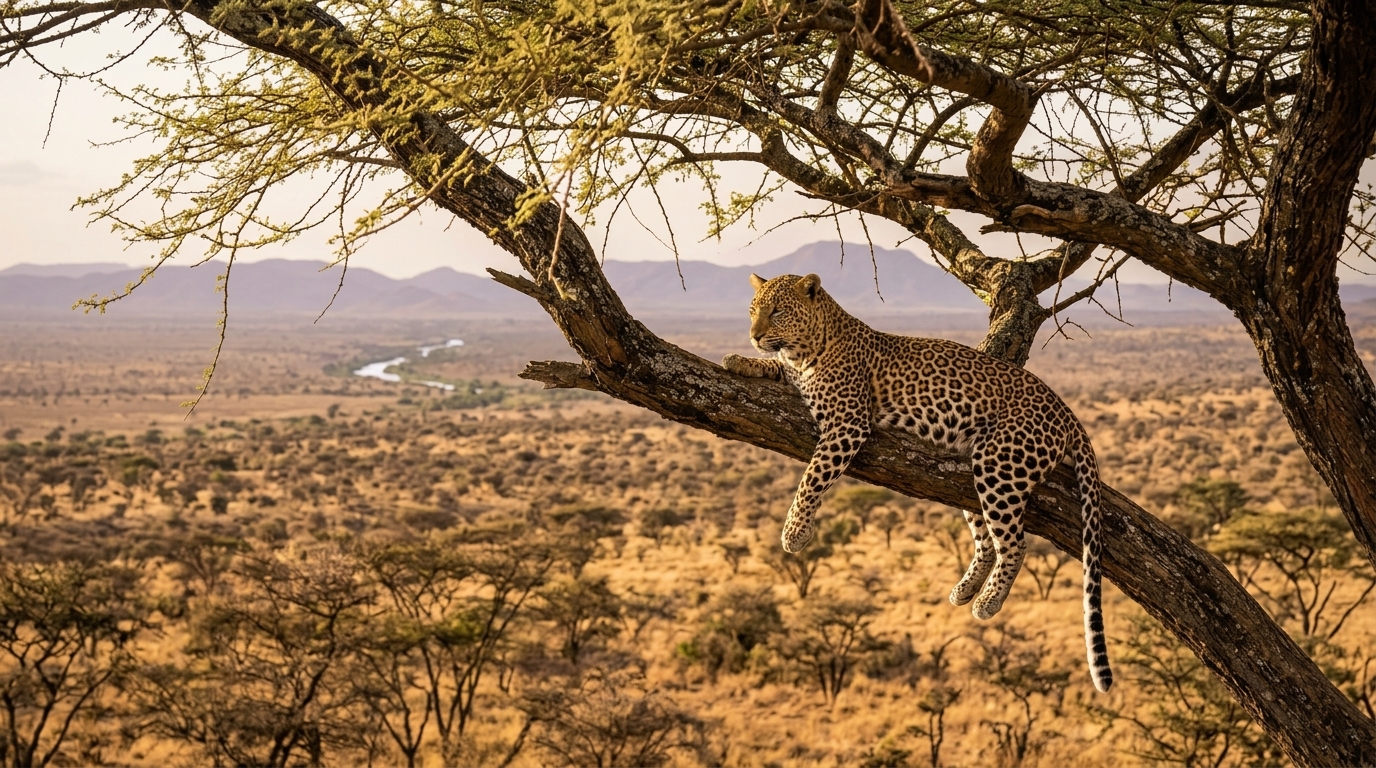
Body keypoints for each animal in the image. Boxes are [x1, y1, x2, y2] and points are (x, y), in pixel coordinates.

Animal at [723, 272, 1112, 692]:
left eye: (778, 311)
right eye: (752, 310)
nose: (754, 335)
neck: (808, 348)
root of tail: (1067, 412)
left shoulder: (847, 423)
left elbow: (812, 476)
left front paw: (794, 532)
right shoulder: (797, 377)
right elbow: (774, 366)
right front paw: (738, 360)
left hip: (1000, 466)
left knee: (1014, 544)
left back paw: (987, 602)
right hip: (970, 478)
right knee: (986, 544)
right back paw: (963, 591)